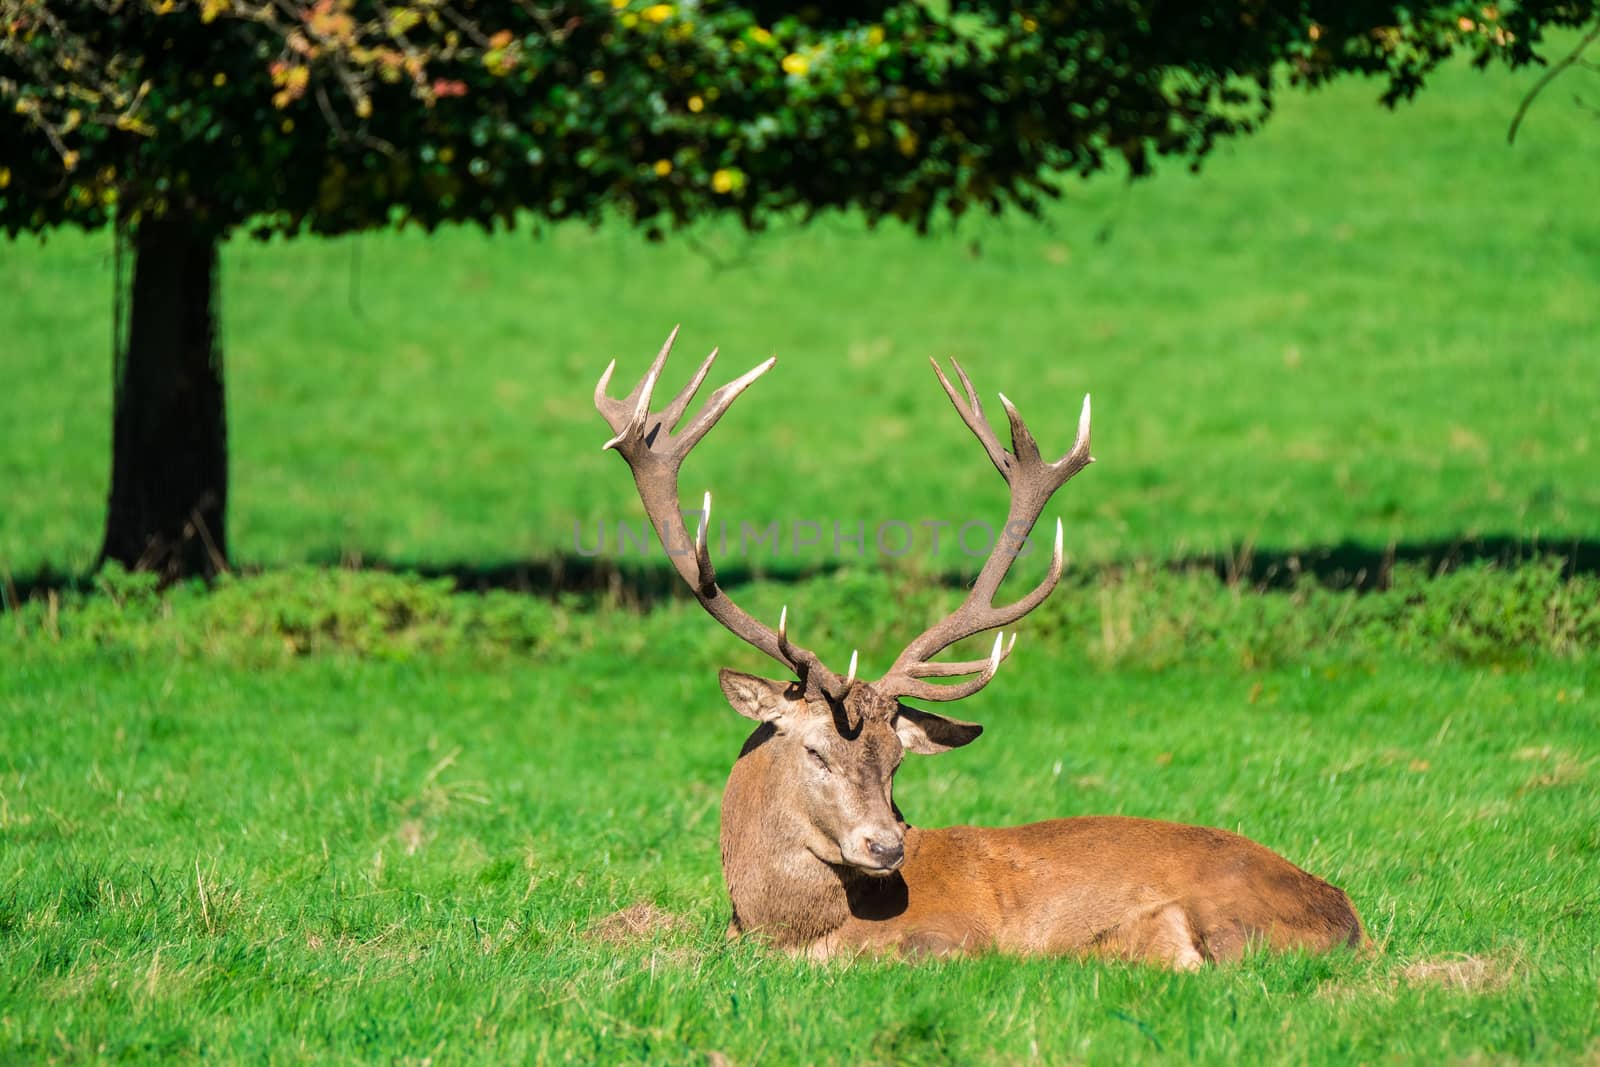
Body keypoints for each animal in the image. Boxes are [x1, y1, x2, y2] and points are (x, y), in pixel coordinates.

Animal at [595, 327, 1369, 966]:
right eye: (815, 749)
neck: (782, 927)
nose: (887, 845)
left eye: (898, 758)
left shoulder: (952, 936)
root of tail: (1349, 919)